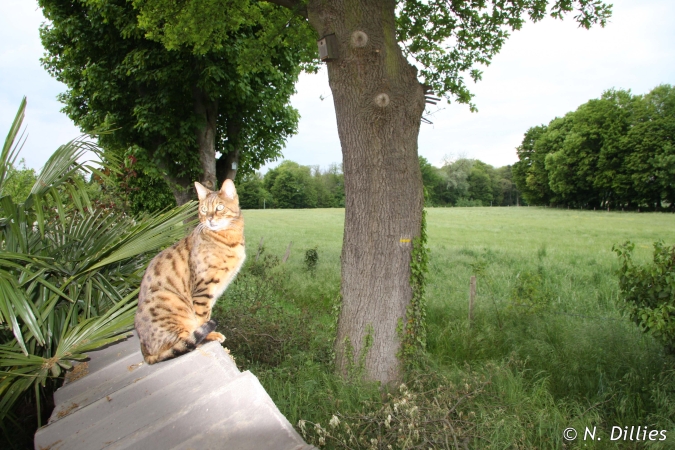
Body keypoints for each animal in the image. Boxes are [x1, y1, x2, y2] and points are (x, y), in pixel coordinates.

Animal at [134, 178, 246, 364]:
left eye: (219, 207)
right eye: (204, 209)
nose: (209, 219)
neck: (228, 239)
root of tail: (144, 351)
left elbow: (206, 314)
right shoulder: (204, 288)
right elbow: (203, 317)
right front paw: (210, 333)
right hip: (172, 302)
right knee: (184, 340)